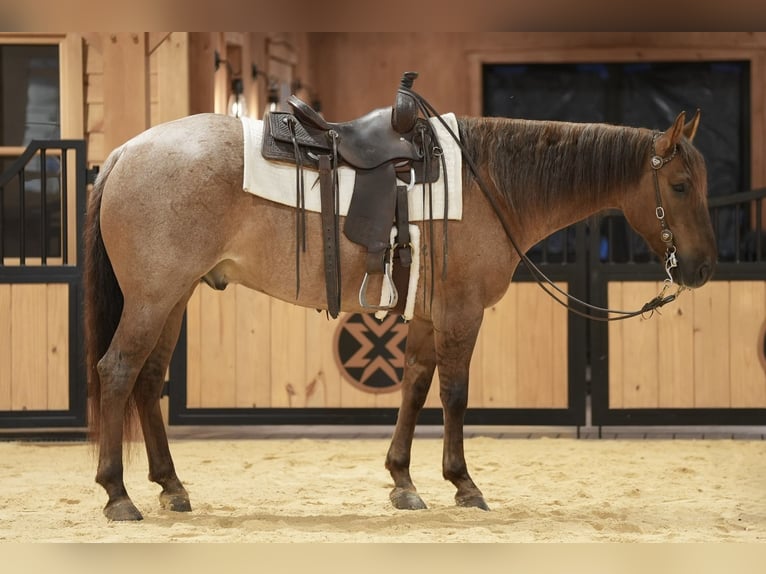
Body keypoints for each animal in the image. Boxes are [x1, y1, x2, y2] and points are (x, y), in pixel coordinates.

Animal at [84, 106, 717, 521]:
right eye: (681, 185)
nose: (704, 267)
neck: (489, 183)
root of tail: (124, 152)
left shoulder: (429, 317)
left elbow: (414, 386)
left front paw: (403, 481)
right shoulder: (461, 313)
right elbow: (454, 394)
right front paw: (463, 484)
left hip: (174, 298)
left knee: (148, 380)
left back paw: (171, 486)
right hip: (153, 298)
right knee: (117, 372)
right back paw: (118, 494)